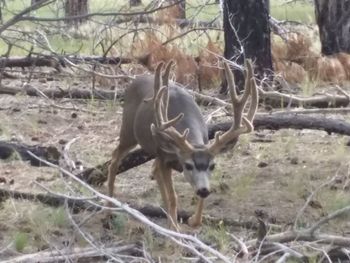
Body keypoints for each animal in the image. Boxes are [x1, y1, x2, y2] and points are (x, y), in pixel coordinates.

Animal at [108, 59, 258, 229]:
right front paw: (174, 227)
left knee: (153, 170)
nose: (204, 190)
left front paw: (191, 220)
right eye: (188, 165)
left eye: (213, 166)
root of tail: (134, 80)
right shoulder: (165, 158)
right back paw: (108, 211)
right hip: (128, 131)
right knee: (114, 158)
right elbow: (172, 196)